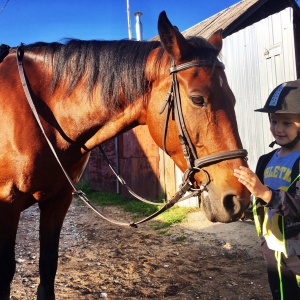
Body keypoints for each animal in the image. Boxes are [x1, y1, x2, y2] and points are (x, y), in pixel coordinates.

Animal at [0, 11, 250, 300]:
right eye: (198, 99)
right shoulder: (8, 203)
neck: (40, 114)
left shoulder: (58, 200)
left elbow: (48, 266)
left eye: (233, 99)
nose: (238, 198)